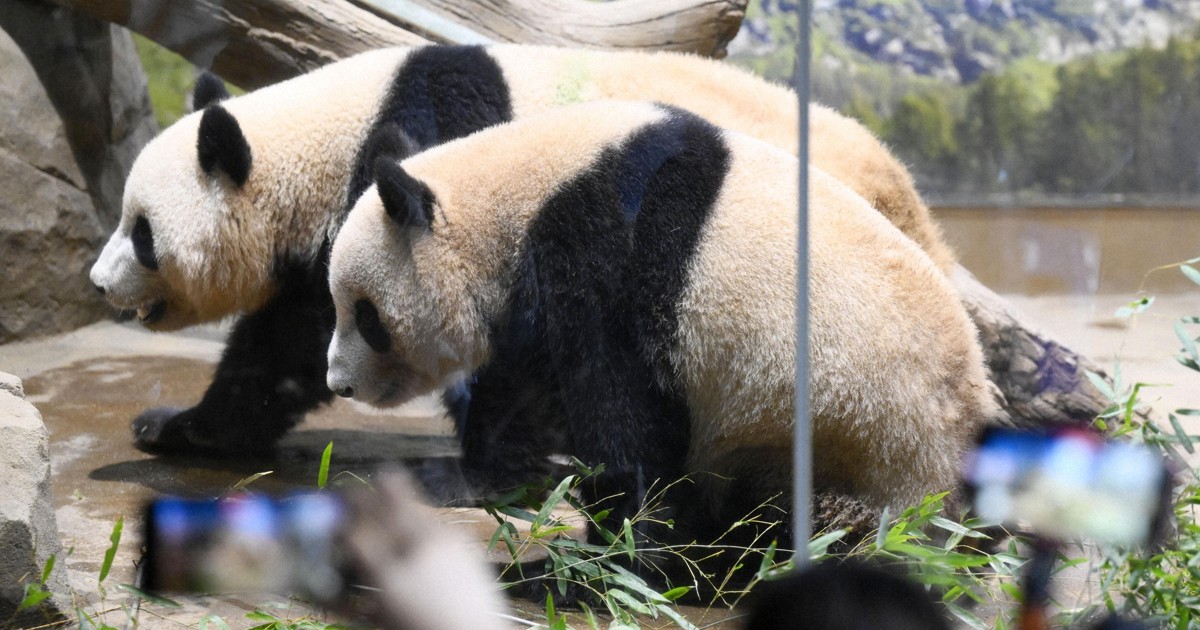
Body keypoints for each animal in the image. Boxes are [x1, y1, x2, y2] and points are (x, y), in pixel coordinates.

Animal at [89, 44, 956, 459]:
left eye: (141, 230)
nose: (96, 284)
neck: (324, 136)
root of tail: (903, 186)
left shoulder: (429, 155)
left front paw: (515, 451)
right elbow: (282, 345)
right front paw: (180, 428)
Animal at [325, 100, 1001, 541]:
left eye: (367, 316)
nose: (339, 383)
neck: (515, 193)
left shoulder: (604, 245)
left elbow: (620, 407)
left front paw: (616, 544)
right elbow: (525, 389)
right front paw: (478, 473)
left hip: (861, 439)